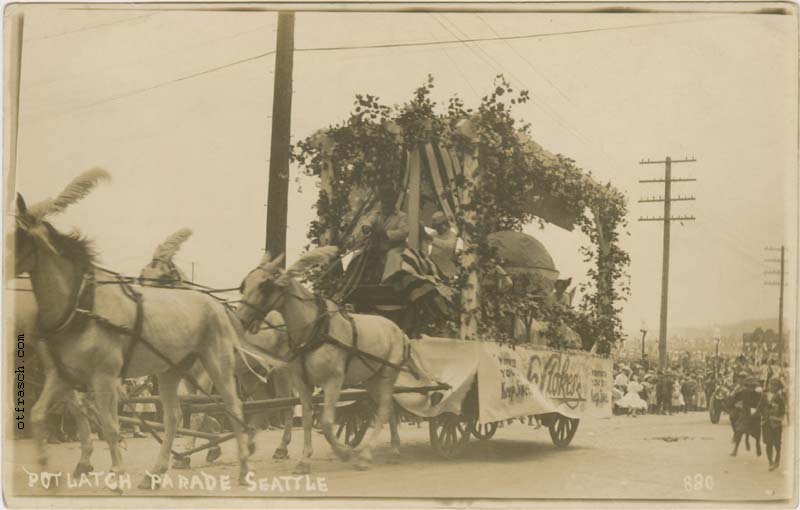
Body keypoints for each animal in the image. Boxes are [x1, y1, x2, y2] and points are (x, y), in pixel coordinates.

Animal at [16, 169, 253, 488]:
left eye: (16, 236)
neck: (82, 306)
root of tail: (216, 305)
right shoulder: (63, 375)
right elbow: (45, 413)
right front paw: (54, 467)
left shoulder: (103, 377)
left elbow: (109, 424)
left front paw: (115, 473)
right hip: (170, 372)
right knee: (177, 416)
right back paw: (159, 470)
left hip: (216, 365)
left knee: (229, 407)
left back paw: (241, 465)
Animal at [233, 249, 418, 472]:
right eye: (244, 285)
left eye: (264, 286)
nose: (240, 320)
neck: (315, 330)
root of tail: (400, 331)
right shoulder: (303, 383)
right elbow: (306, 418)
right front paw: (305, 460)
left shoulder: (333, 381)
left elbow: (327, 422)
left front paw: (344, 452)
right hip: (371, 380)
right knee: (389, 409)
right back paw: (394, 448)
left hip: (387, 375)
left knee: (383, 410)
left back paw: (366, 455)